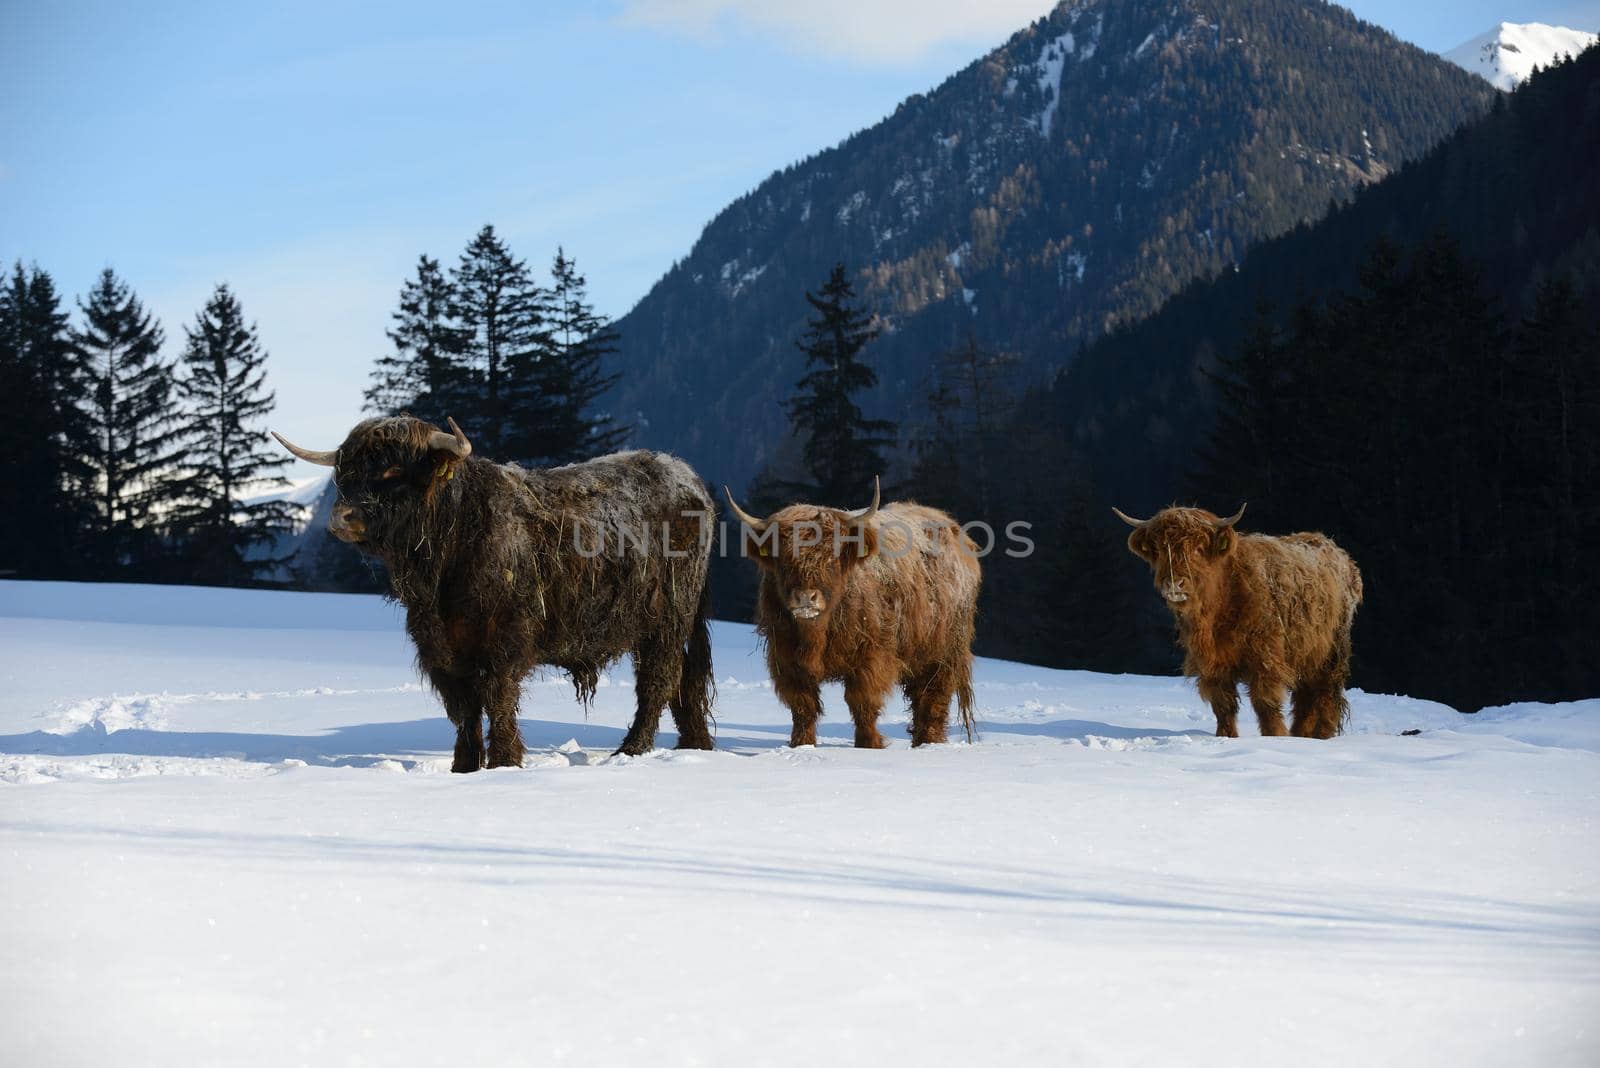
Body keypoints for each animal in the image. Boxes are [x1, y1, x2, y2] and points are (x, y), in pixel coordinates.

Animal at [275, 412, 713, 770]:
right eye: (345, 473)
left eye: (392, 471)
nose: (341, 518)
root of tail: (686, 477)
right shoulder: (439, 648)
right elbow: (463, 709)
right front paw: (465, 768)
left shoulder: (503, 640)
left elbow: (497, 699)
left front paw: (504, 762)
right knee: (682, 679)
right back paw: (695, 745)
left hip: (668, 617)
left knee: (659, 679)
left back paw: (631, 750)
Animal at [729, 479, 979, 748]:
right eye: (783, 560)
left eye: (831, 557)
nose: (806, 597)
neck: (816, 635)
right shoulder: (785, 658)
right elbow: (803, 705)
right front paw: (801, 745)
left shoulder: (872, 656)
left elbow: (862, 702)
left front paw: (868, 745)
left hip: (944, 652)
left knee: (933, 698)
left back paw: (929, 743)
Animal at [1113, 505, 1363, 738]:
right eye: (1160, 550)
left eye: (1198, 548)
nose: (1175, 584)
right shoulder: (1212, 664)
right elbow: (1223, 705)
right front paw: (1226, 736)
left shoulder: (1266, 658)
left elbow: (1266, 703)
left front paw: (1275, 737)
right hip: (1307, 653)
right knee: (1306, 697)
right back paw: (1301, 734)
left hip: (1333, 651)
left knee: (1327, 694)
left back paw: (1322, 735)